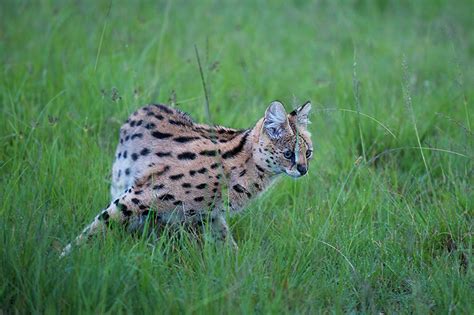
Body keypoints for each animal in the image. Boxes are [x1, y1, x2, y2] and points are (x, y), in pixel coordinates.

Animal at [61, 101, 312, 256]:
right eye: (288, 153)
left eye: (308, 152)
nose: (303, 169)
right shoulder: (139, 196)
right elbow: (94, 229)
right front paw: (65, 259)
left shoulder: (208, 216)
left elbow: (225, 242)